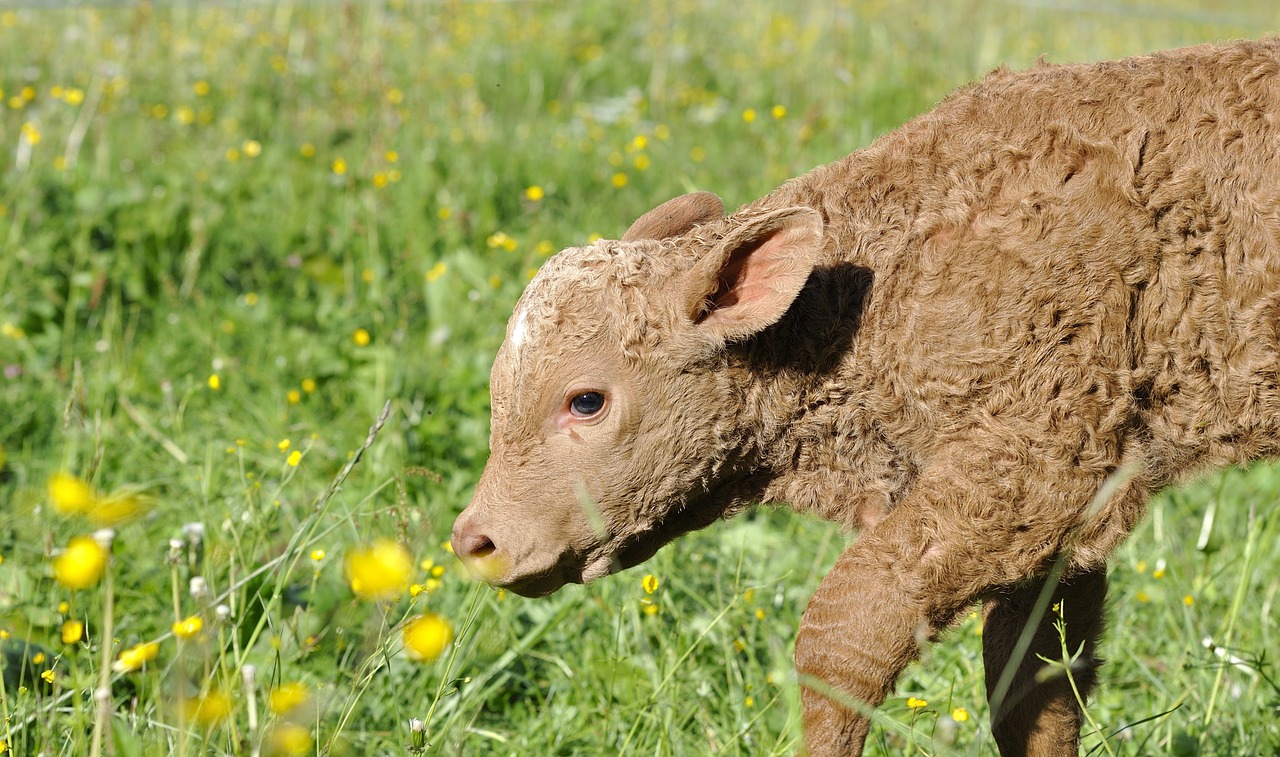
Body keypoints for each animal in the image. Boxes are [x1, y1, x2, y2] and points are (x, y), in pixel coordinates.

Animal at [450, 42, 1280, 757]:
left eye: (586, 400)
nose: (476, 540)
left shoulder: (1032, 472)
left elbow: (844, 632)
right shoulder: (1064, 530)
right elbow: (1034, 686)